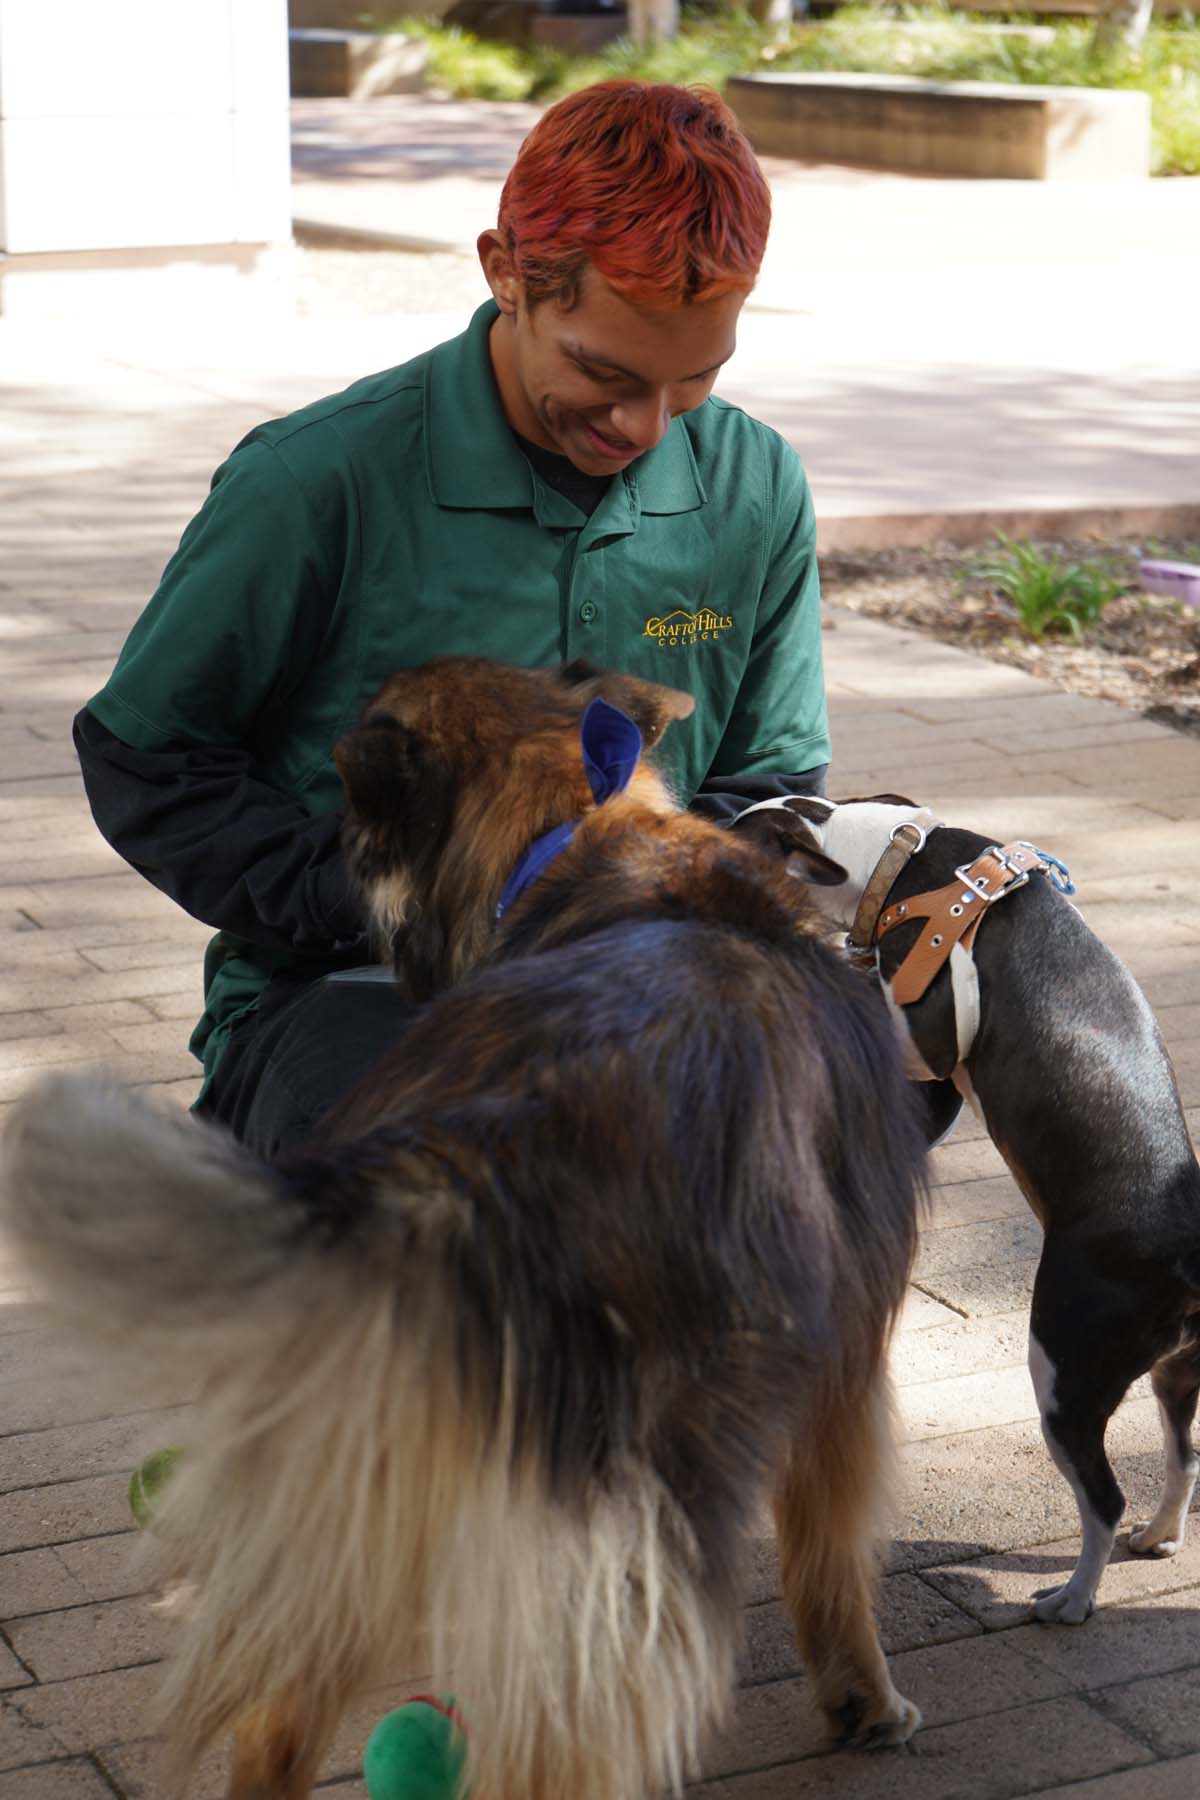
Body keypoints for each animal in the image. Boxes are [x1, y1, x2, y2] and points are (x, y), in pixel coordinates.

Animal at [2, 662, 928, 1800]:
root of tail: (476, 1146)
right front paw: (864, 1700)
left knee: (277, 1716)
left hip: (367, 1462)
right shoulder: (847, 1357)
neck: (572, 834)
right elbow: (830, 1554)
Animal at [737, 795, 1200, 1627]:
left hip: (1065, 1373)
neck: (896, 860)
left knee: (1102, 1498)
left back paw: (1072, 1599)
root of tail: (1181, 1247)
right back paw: (1159, 1536)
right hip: (1174, 1376)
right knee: (1185, 1458)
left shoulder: (925, 1038)